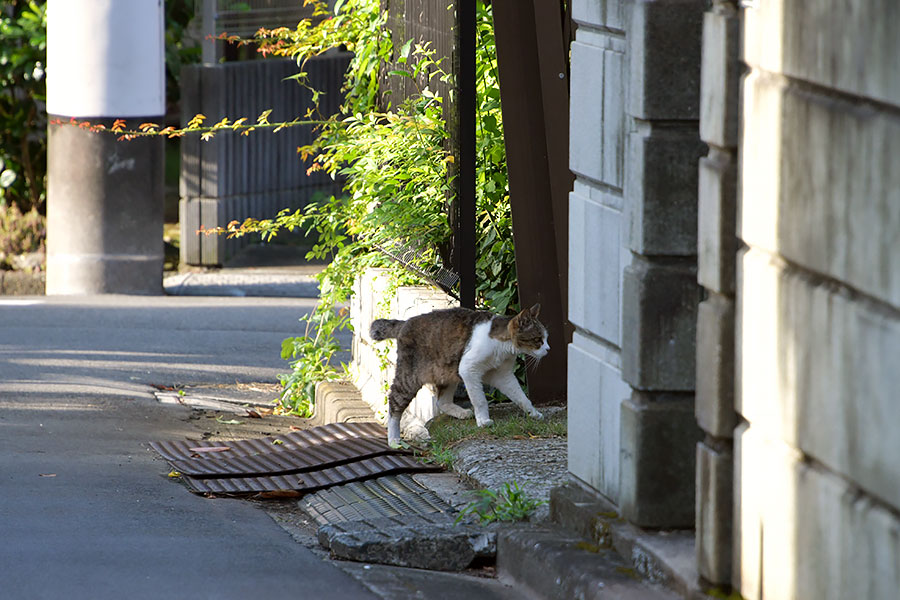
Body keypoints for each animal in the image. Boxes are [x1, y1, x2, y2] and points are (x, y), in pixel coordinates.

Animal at [368, 302, 548, 448]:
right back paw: (394, 440)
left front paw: (533, 413)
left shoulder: (503, 375)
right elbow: (480, 400)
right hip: (411, 377)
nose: (548, 349)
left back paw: (461, 413)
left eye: (546, 339)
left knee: (441, 402)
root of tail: (405, 322)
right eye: (538, 339)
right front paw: (483, 421)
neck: (502, 347)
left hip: (446, 371)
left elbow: (521, 397)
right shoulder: (469, 369)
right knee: (394, 402)